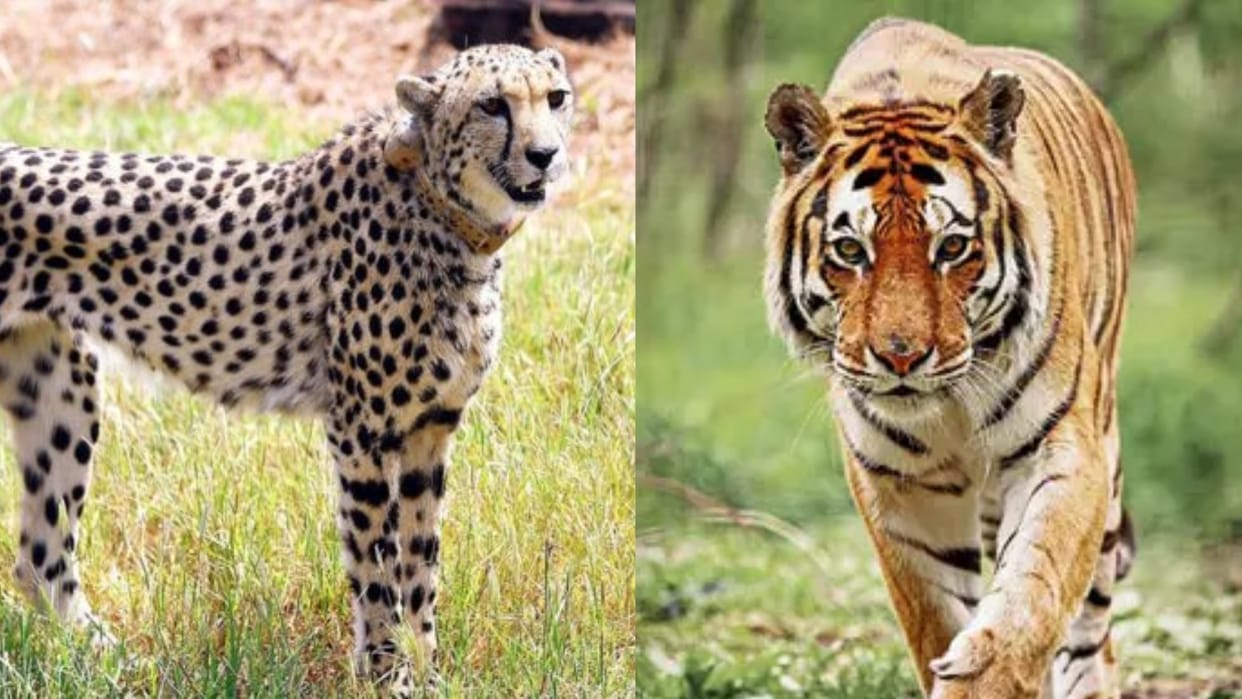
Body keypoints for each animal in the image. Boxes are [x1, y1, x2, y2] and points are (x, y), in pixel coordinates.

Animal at [762, 18, 1137, 699]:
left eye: (953, 246)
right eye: (851, 251)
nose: (901, 357)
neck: (951, 407)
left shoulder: (1062, 447)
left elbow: (1034, 585)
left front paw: (989, 672)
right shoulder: (901, 486)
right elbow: (936, 615)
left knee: (1091, 629)